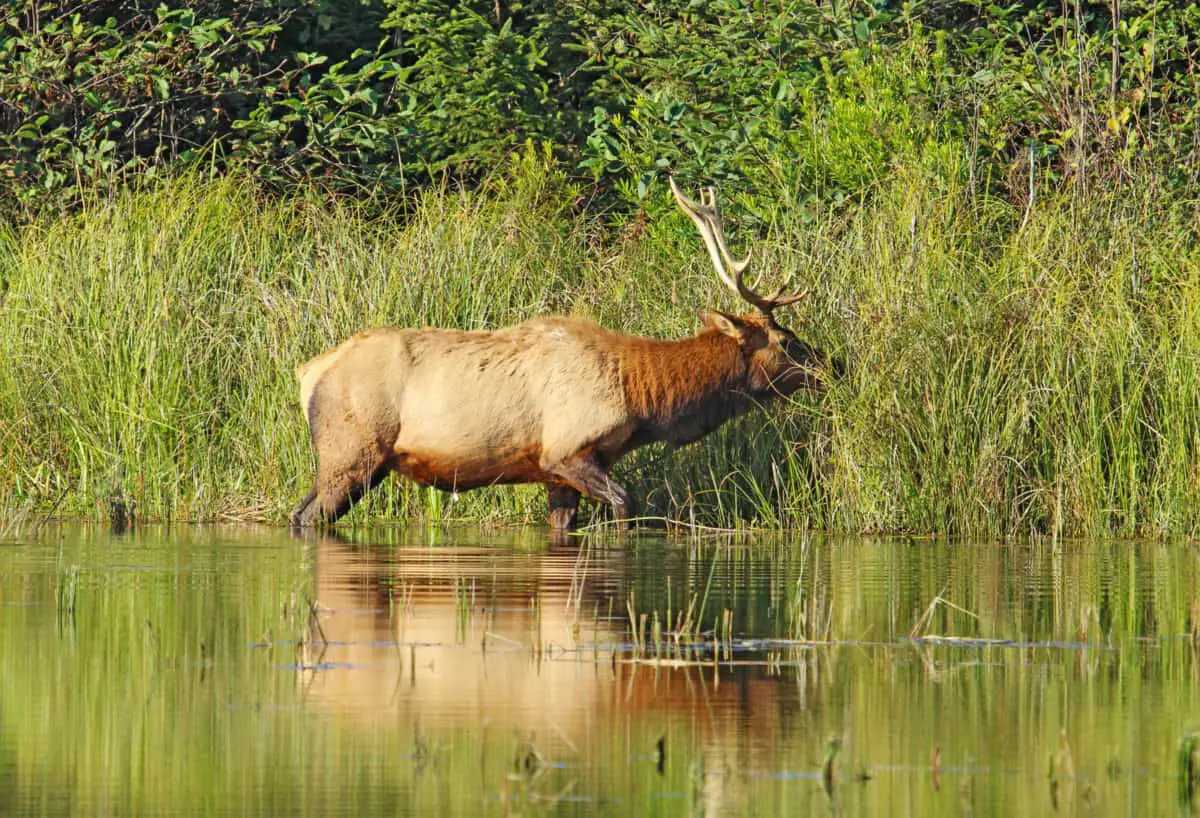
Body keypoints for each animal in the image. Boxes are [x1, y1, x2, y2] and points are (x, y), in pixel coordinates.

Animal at [290, 178, 835, 532]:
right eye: (787, 341)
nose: (835, 367)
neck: (642, 397)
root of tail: (308, 373)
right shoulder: (569, 449)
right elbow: (625, 506)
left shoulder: (554, 472)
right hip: (352, 450)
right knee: (309, 516)